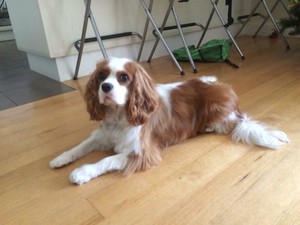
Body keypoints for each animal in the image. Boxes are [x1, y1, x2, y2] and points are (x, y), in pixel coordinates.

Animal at [49, 57, 290, 185]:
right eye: (101, 76)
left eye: (124, 78)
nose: (105, 87)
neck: (118, 115)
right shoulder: (101, 135)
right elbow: (81, 146)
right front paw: (61, 158)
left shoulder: (142, 153)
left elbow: (105, 160)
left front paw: (82, 172)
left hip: (220, 114)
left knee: (235, 124)